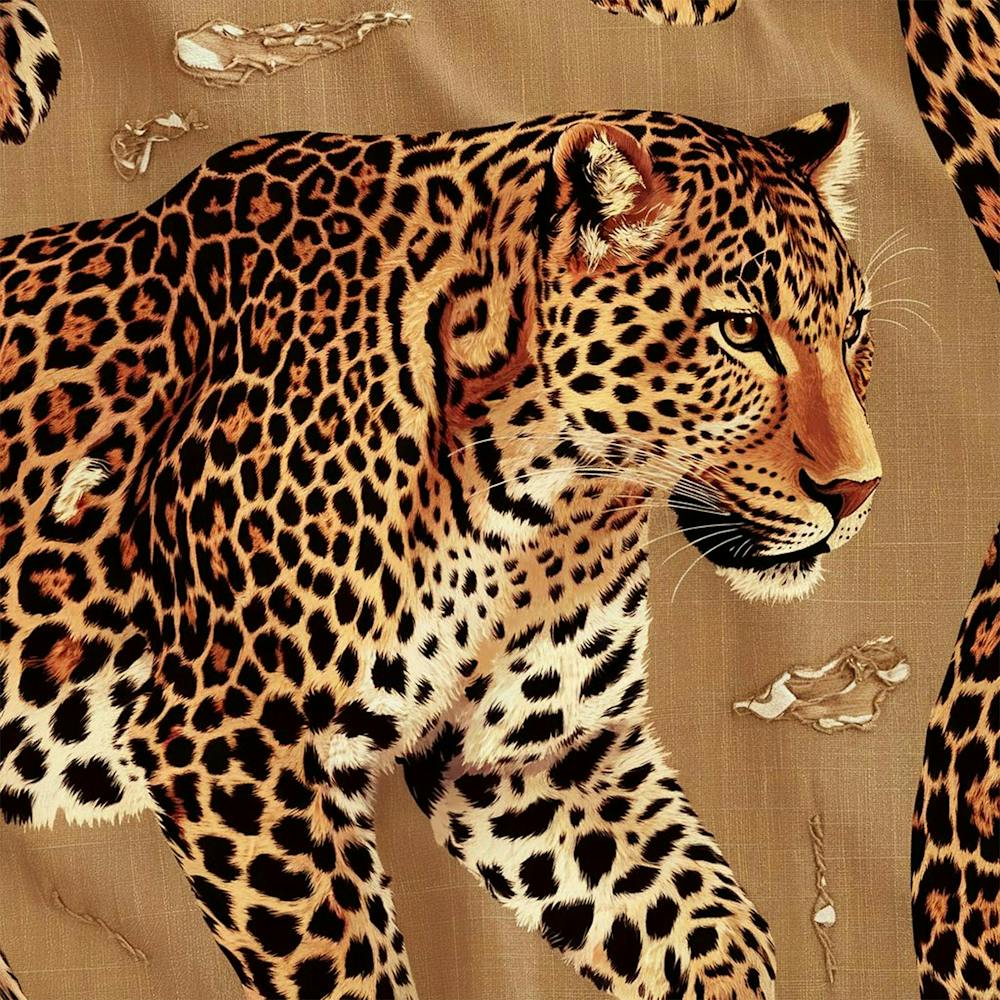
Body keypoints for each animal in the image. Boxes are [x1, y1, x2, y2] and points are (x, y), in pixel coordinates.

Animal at [0, 103, 881, 999]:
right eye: (741, 330)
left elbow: (707, 928)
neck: (541, 501)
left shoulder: (535, 762)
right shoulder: (237, 740)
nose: (858, 491)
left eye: (854, 333)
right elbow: (350, 968)